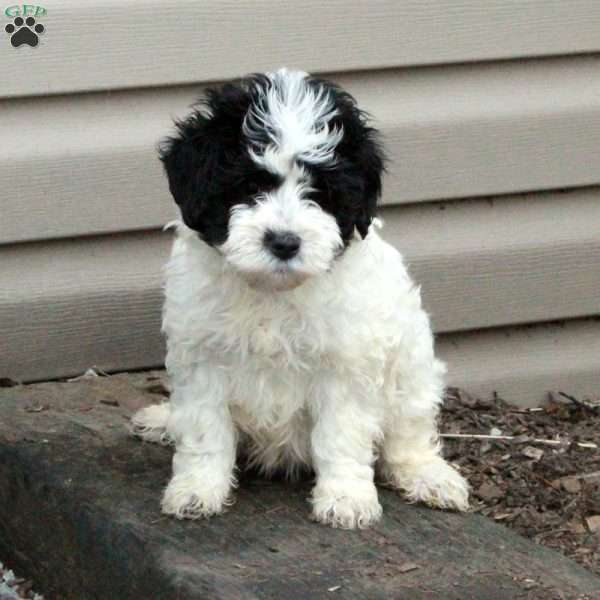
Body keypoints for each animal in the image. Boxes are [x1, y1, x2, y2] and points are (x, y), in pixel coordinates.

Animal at [132, 68, 468, 528]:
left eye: (320, 192)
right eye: (249, 185)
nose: (284, 242)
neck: (272, 291)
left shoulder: (346, 365)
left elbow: (340, 435)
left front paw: (346, 497)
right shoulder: (202, 357)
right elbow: (205, 431)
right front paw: (198, 489)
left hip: (412, 369)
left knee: (407, 435)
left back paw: (428, 476)